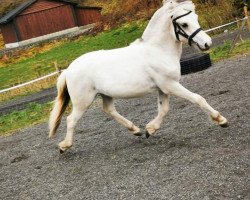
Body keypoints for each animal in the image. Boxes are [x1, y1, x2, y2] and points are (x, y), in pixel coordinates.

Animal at [48, 0, 229, 153]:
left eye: (196, 18)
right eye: (184, 24)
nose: (207, 43)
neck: (158, 50)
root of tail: (69, 69)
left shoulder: (163, 88)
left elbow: (163, 109)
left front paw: (150, 130)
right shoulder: (170, 85)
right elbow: (198, 99)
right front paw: (221, 120)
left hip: (105, 94)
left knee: (109, 110)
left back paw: (135, 130)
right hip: (82, 101)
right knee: (71, 120)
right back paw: (64, 146)